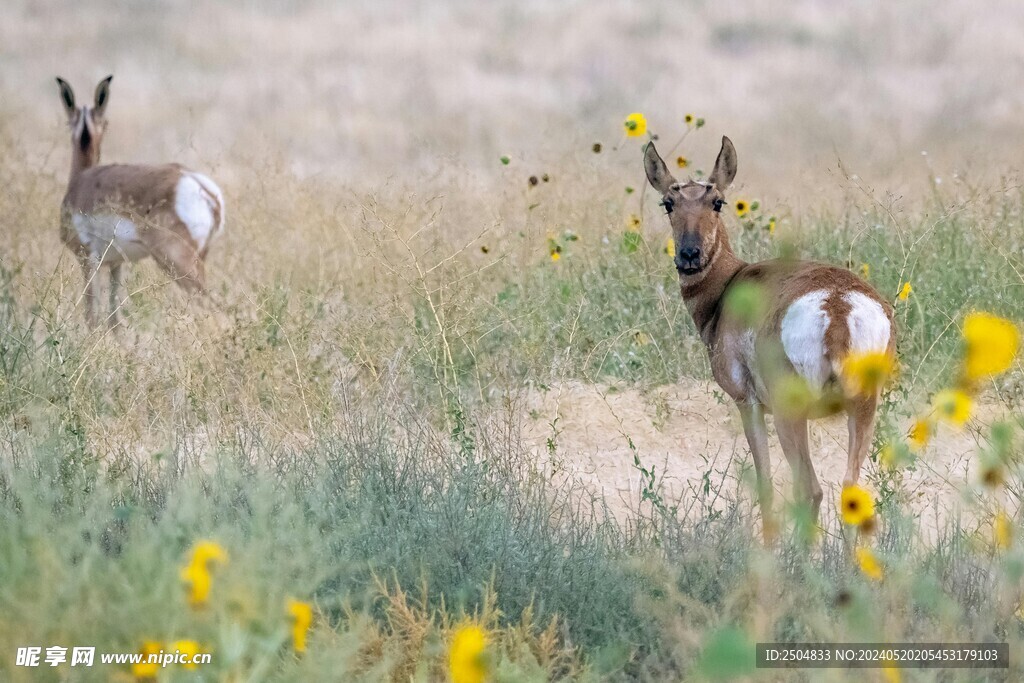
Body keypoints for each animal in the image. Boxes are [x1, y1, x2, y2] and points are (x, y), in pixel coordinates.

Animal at [55, 75, 225, 328]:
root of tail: (201, 186)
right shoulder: (116, 264)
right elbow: (114, 318)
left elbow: (92, 316)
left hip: (178, 264)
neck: (82, 179)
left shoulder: (88, 260)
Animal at [644, 136, 895, 541]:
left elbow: (765, 487)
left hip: (790, 414)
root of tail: (837, 304)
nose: (689, 255)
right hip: (862, 408)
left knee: (809, 489)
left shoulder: (747, 404)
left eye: (717, 201)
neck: (731, 283)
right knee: (849, 489)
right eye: (669, 203)